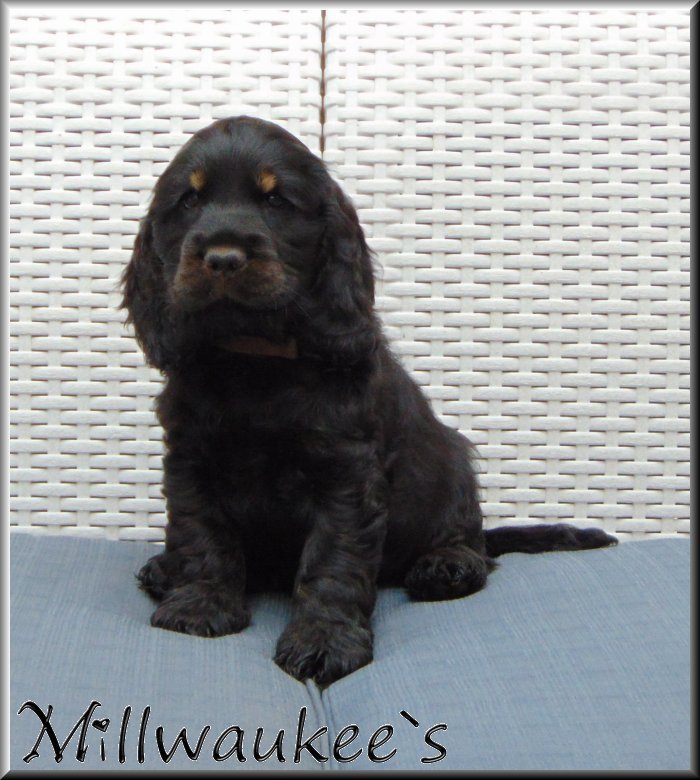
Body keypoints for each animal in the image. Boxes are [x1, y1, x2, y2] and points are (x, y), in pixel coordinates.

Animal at [122, 116, 617, 685]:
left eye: (277, 200)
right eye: (188, 200)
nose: (223, 258)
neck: (256, 358)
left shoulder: (346, 474)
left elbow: (333, 561)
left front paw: (324, 640)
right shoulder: (191, 460)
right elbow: (202, 535)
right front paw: (199, 604)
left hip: (451, 466)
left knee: (471, 540)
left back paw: (447, 566)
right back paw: (164, 569)